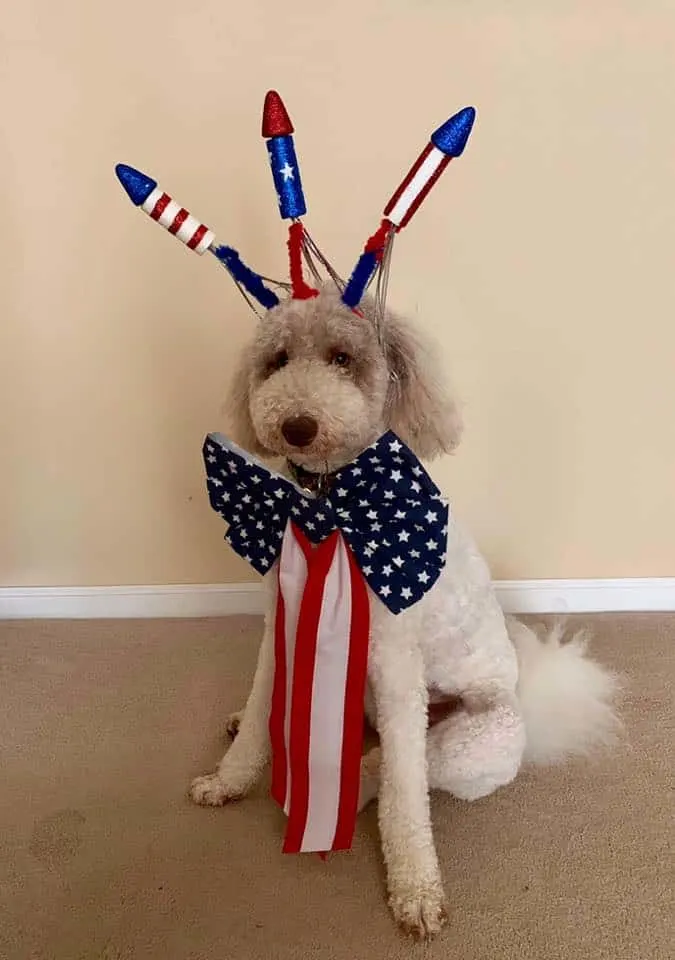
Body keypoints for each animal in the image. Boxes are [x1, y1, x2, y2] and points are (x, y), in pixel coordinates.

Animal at [187, 284, 620, 936]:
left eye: (343, 358)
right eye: (278, 360)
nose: (295, 425)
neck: (328, 511)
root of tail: (526, 693)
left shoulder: (394, 666)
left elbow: (406, 800)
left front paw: (415, 890)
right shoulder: (278, 623)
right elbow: (262, 706)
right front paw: (229, 777)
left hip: (473, 741)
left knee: (393, 769)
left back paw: (347, 788)